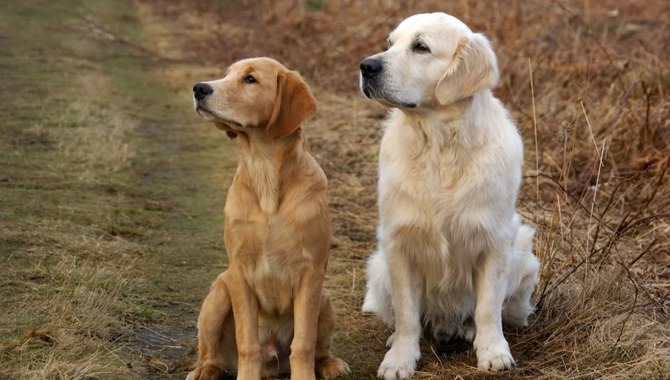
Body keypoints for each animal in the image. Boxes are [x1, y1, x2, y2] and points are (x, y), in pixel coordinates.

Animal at [186, 56, 350, 380]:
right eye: (227, 74)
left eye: (250, 79)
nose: (199, 88)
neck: (264, 171)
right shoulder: (238, 272)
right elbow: (246, 341)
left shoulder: (311, 272)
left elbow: (304, 343)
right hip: (219, 293)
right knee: (211, 353)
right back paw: (205, 370)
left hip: (325, 300)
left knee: (318, 349)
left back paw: (330, 364)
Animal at [360, 12, 544, 380]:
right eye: (390, 43)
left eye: (420, 47)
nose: (365, 66)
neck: (440, 147)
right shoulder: (399, 242)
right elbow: (407, 315)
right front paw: (400, 359)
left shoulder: (494, 241)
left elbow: (488, 308)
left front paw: (493, 352)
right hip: (379, 267)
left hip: (523, 255)